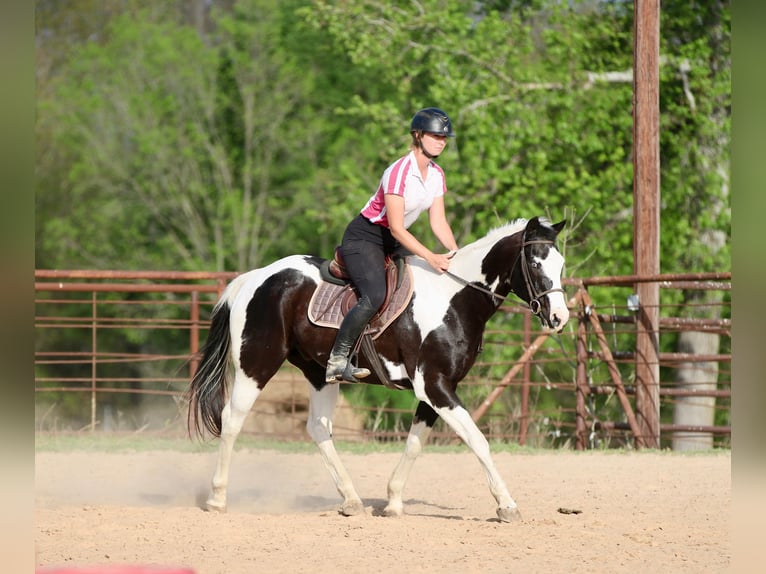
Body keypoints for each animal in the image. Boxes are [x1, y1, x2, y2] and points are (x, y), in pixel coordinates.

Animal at [186, 216, 569, 522]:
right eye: (535, 263)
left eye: (561, 264)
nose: (559, 317)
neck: (455, 298)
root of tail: (256, 278)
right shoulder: (435, 385)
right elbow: (478, 441)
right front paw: (506, 505)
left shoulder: (436, 389)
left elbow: (415, 443)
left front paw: (394, 502)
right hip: (256, 366)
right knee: (232, 420)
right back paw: (217, 498)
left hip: (318, 373)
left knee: (318, 427)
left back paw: (351, 500)